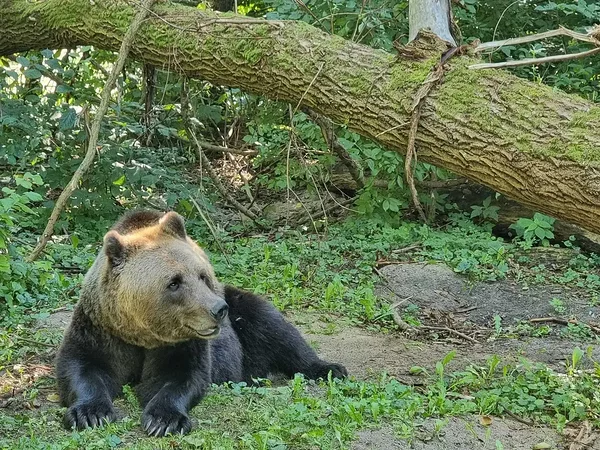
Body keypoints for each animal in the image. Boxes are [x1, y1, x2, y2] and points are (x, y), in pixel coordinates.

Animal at [57, 211, 346, 436]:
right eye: (174, 282)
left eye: (202, 275)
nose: (218, 309)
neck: (142, 333)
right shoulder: (101, 327)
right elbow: (82, 366)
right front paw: (90, 414)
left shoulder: (183, 342)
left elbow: (183, 376)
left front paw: (164, 420)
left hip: (240, 312)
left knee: (275, 329)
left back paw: (329, 368)